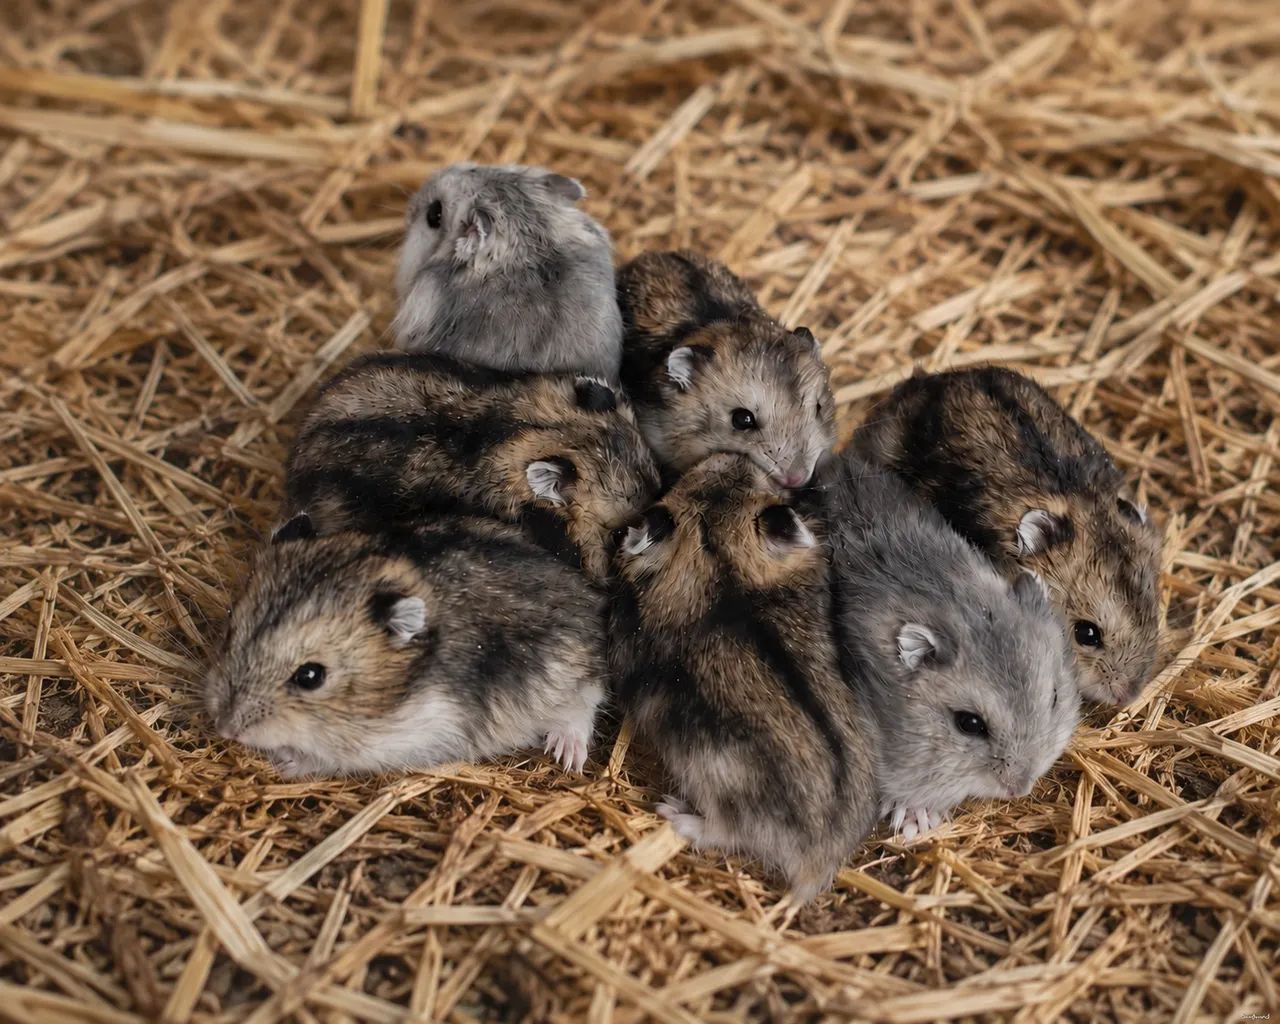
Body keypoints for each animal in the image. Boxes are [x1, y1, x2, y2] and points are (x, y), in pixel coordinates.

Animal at [205, 515, 606, 777]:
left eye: (310, 676)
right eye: (229, 632)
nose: (225, 729)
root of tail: (588, 596)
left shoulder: (414, 738)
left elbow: (328, 758)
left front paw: (284, 763)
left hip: (569, 676)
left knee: (584, 704)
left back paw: (567, 755)